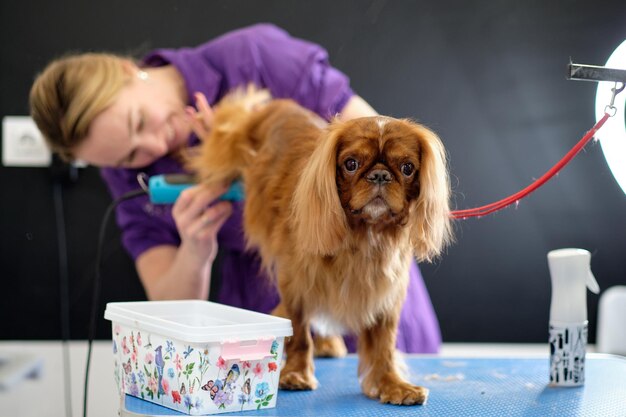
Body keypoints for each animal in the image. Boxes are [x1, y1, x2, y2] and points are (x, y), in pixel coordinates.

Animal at [188, 87, 450, 404]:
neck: (364, 233)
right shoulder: (296, 282)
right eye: (351, 164)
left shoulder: (385, 293)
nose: (380, 175)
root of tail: (274, 107)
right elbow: (299, 332)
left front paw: (391, 384)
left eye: (407, 168)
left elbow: (383, 344)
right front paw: (295, 374)